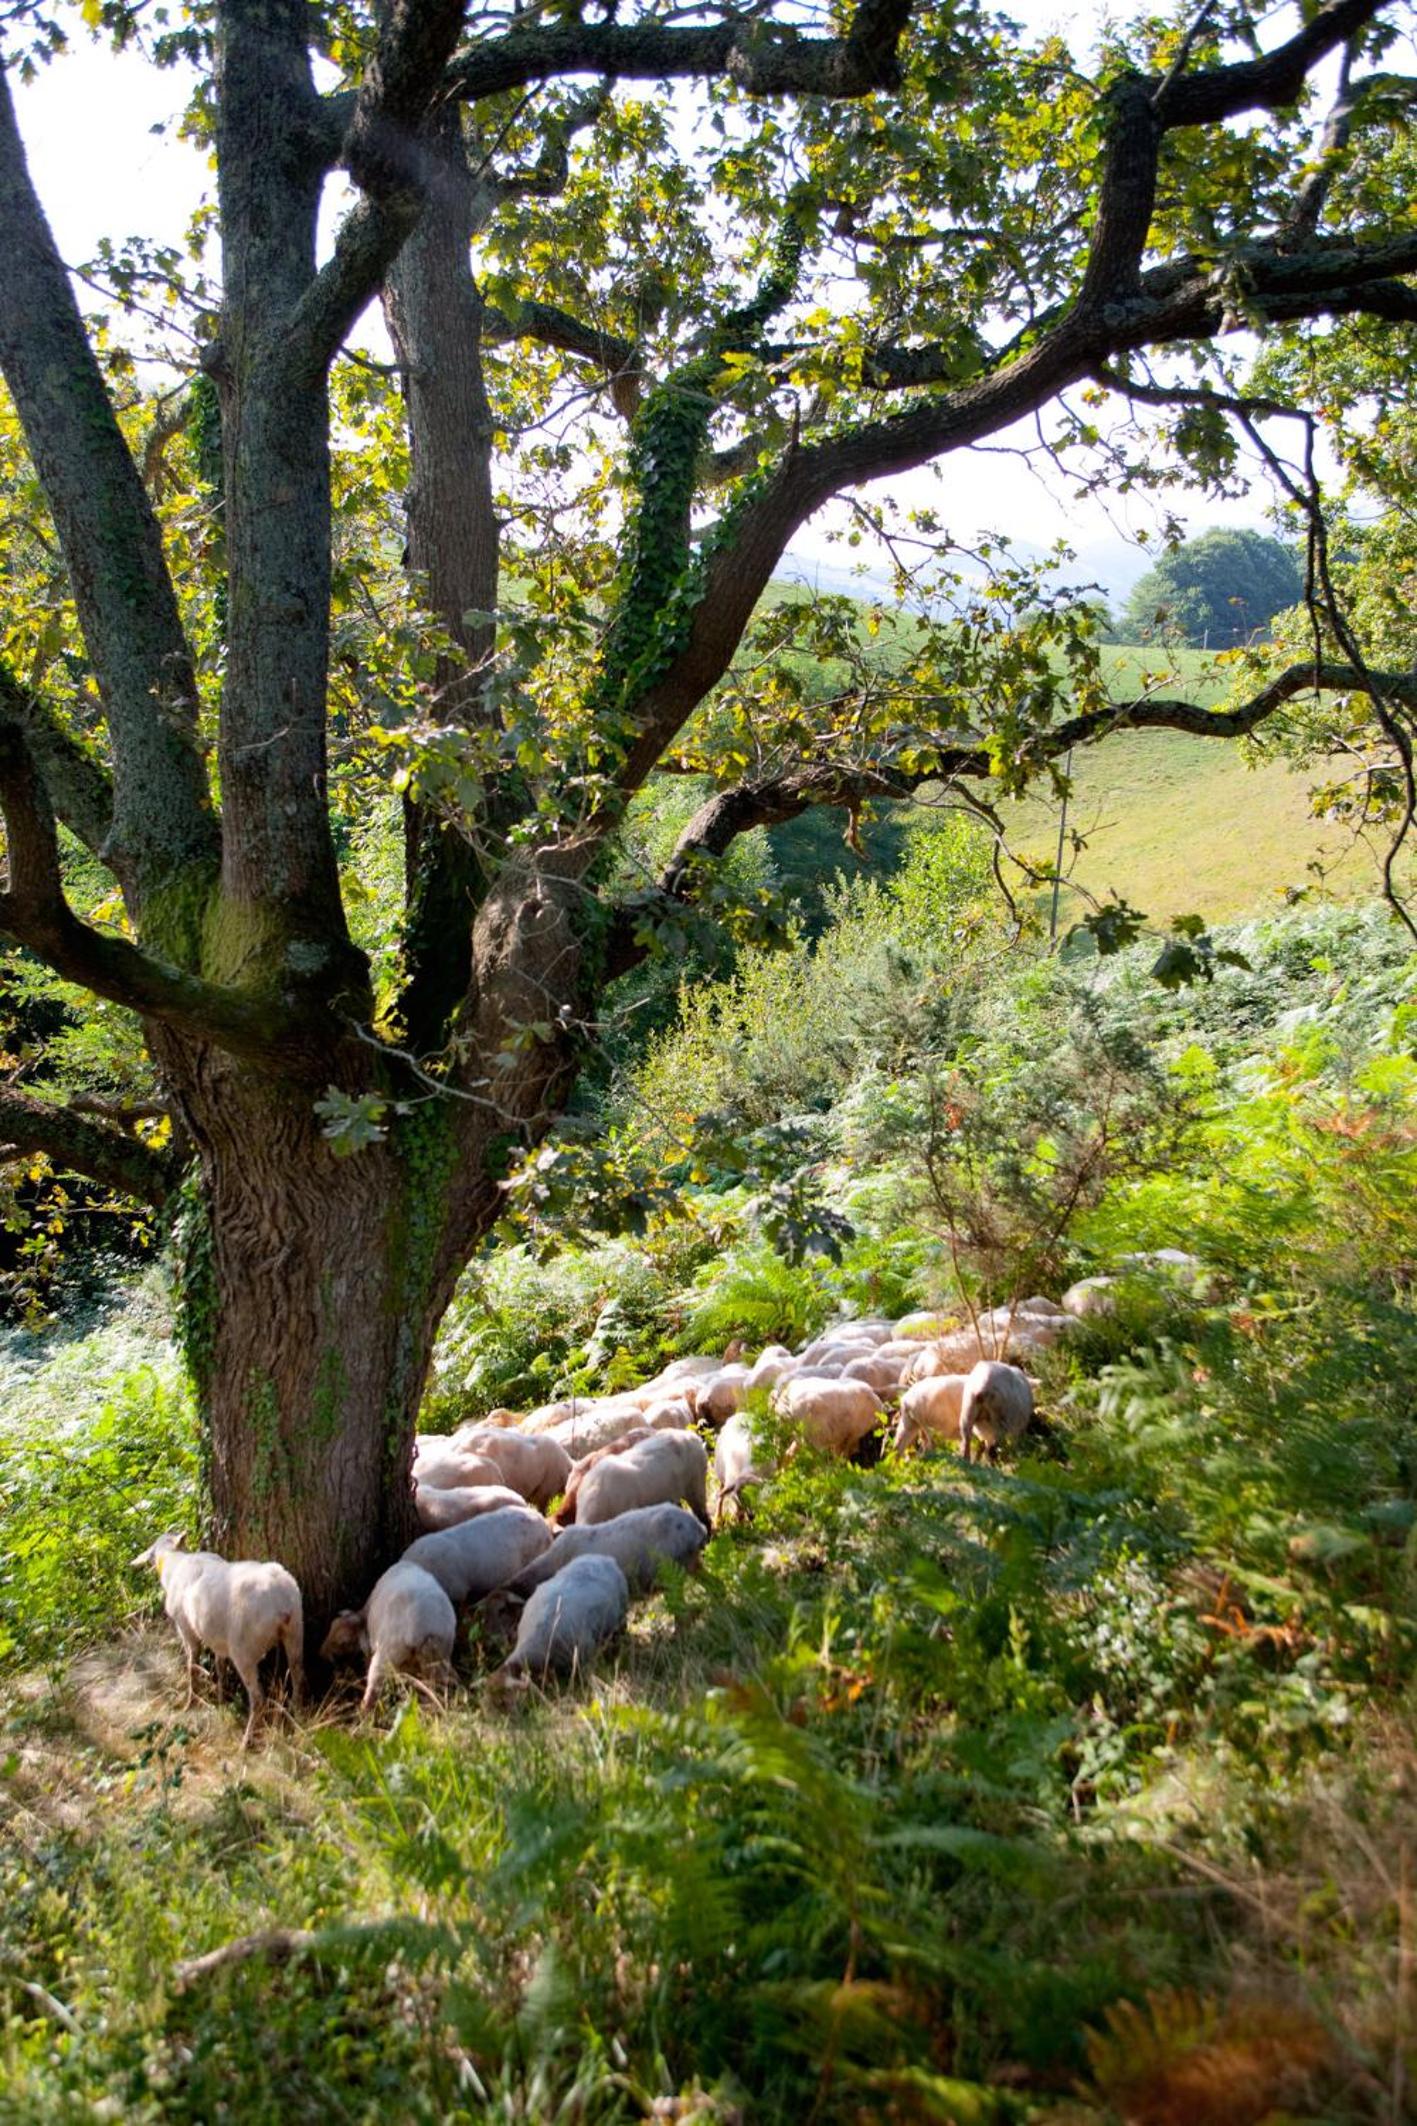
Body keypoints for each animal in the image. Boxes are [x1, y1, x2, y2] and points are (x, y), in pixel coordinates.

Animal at [131, 1531, 303, 1749]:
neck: (174, 1563)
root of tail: (280, 1599)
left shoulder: (187, 1630)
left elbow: (192, 1665)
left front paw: (191, 1702)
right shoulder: (217, 1640)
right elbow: (220, 1667)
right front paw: (221, 1699)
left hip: (244, 1650)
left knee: (258, 1698)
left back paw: (246, 1741)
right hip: (295, 1631)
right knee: (298, 1676)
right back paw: (298, 1717)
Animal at [321, 1560, 455, 1713]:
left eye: (343, 1642)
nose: (321, 1654)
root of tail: (420, 1627)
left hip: (386, 1656)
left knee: (373, 1688)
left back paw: (364, 1713)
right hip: (438, 1658)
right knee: (437, 1687)